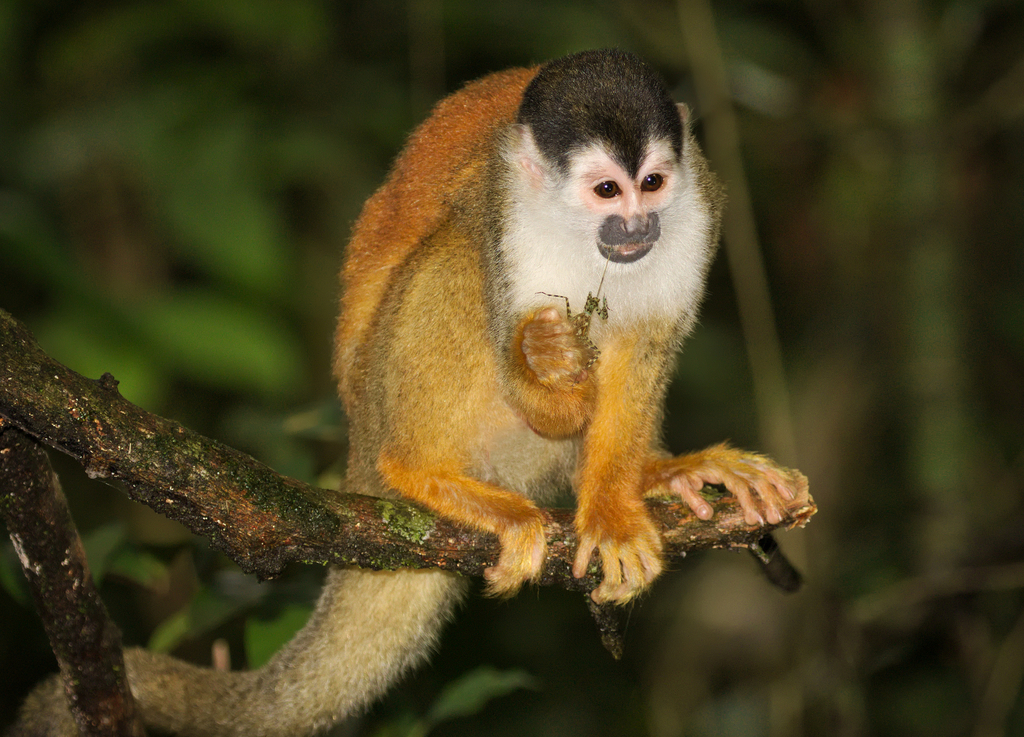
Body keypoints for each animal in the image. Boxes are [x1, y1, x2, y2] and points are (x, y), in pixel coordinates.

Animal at [11, 49, 806, 736]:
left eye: (654, 183)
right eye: (606, 189)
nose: (637, 225)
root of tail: (359, 450)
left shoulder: (701, 209)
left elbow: (646, 348)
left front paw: (613, 503)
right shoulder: (500, 214)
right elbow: (514, 340)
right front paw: (547, 361)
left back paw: (657, 473)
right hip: (387, 402)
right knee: (454, 257)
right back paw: (420, 472)